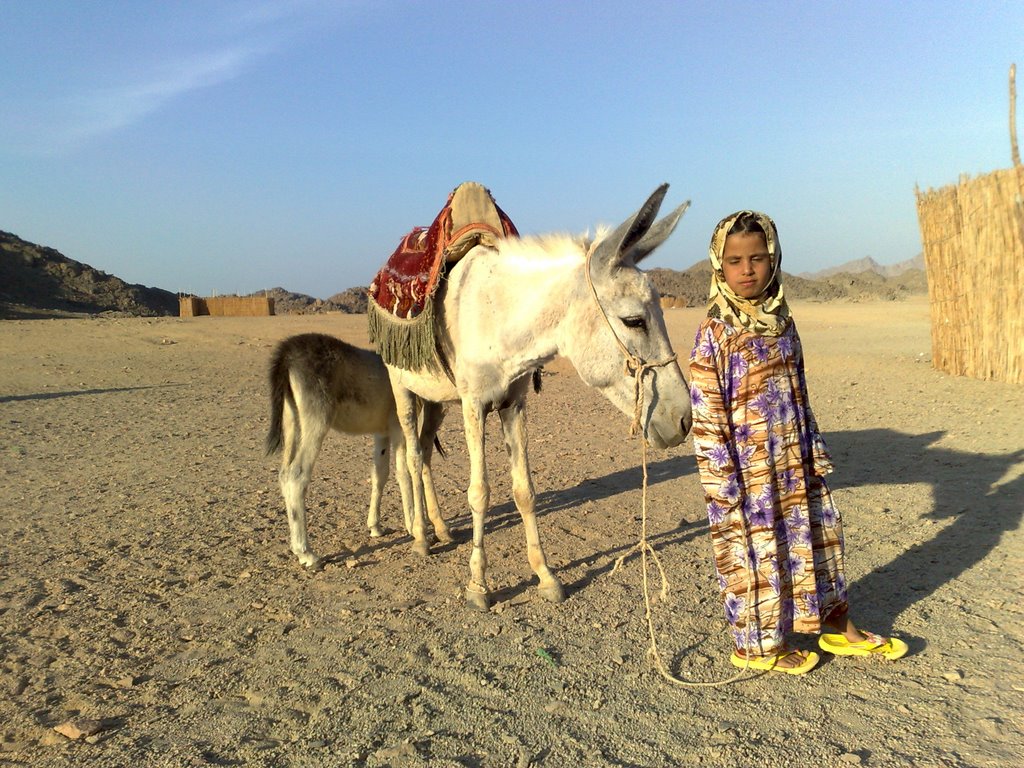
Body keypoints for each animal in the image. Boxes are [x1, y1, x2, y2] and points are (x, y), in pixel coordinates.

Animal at [266, 333, 450, 569]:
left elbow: (379, 474)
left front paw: (375, 527)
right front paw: (412, 526)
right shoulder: (398, 427)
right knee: (296, 476)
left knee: (283, 475)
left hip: (292, 425)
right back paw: (306, 553)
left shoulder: (382, 433)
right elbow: (403, 472)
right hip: (315, 422)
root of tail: (287, 353)